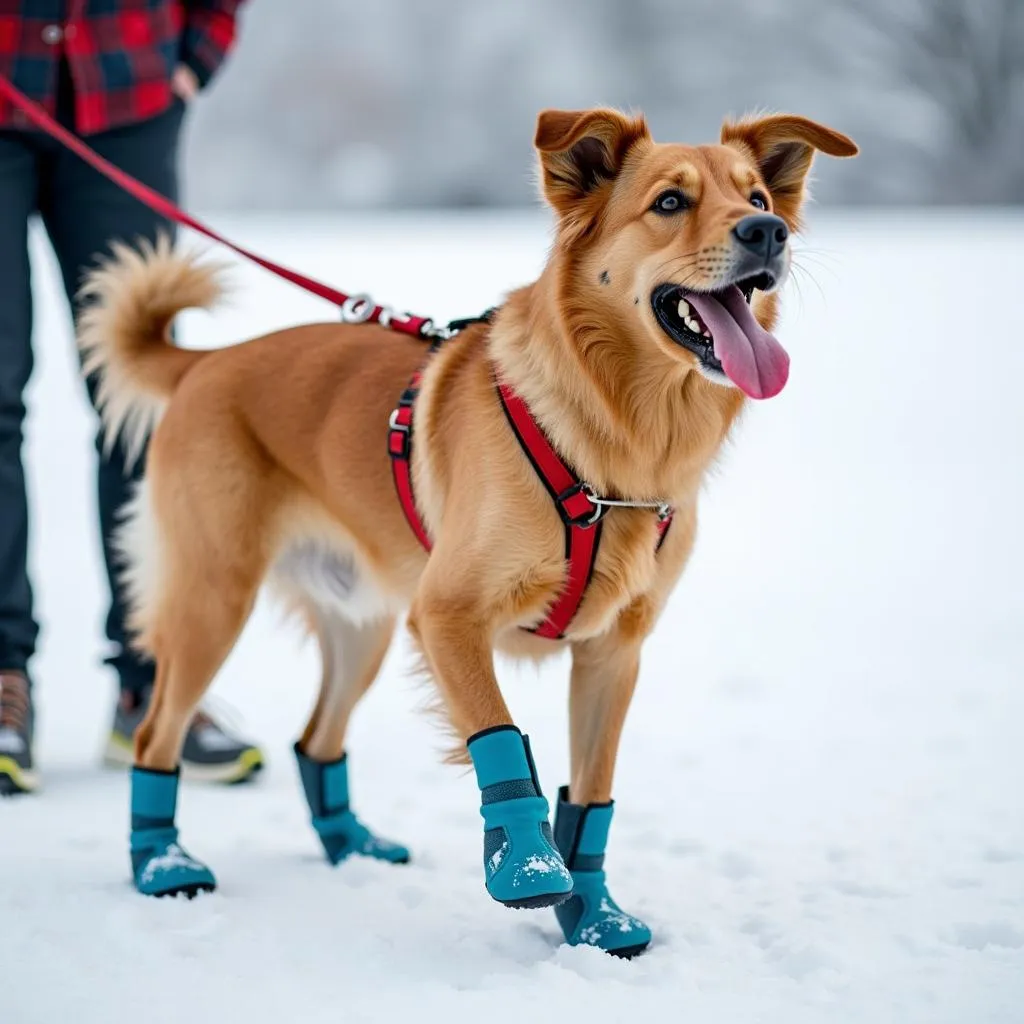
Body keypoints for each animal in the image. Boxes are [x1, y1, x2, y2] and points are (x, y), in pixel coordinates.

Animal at [77, 108, 856, 946]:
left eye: (755, 196)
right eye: (670, 203)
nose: (766, 231)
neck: (613, 452)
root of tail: (204, 361)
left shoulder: (614, 652)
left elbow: (592, 793)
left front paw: (594, 917)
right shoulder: (448, 615)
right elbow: (498, 736)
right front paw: (529, 871)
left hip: (363, 627)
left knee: (316, 739)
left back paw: (349, 844)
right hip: (214, 601)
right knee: (157, 737)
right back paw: (162, 865)